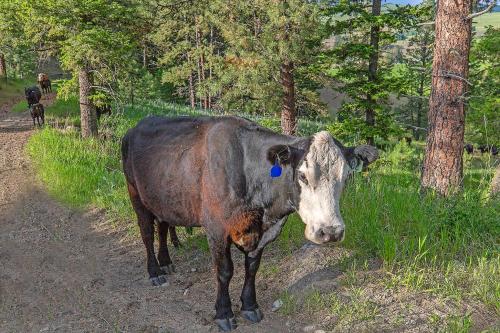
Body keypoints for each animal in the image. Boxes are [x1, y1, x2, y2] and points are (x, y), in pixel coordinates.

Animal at [121, 116, 378, 330]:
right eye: (303, 176)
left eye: (346, 177)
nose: (330, 231)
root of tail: (136, 126)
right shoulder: (216, 229)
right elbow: (225, 271)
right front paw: (224, 313)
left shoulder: (264, 231)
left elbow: (252, 268)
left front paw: (249, 306)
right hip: (136, 195)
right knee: (147, 234)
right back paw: (155, 271)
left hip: (162, 199)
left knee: (163, 227)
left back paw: (166, 262)